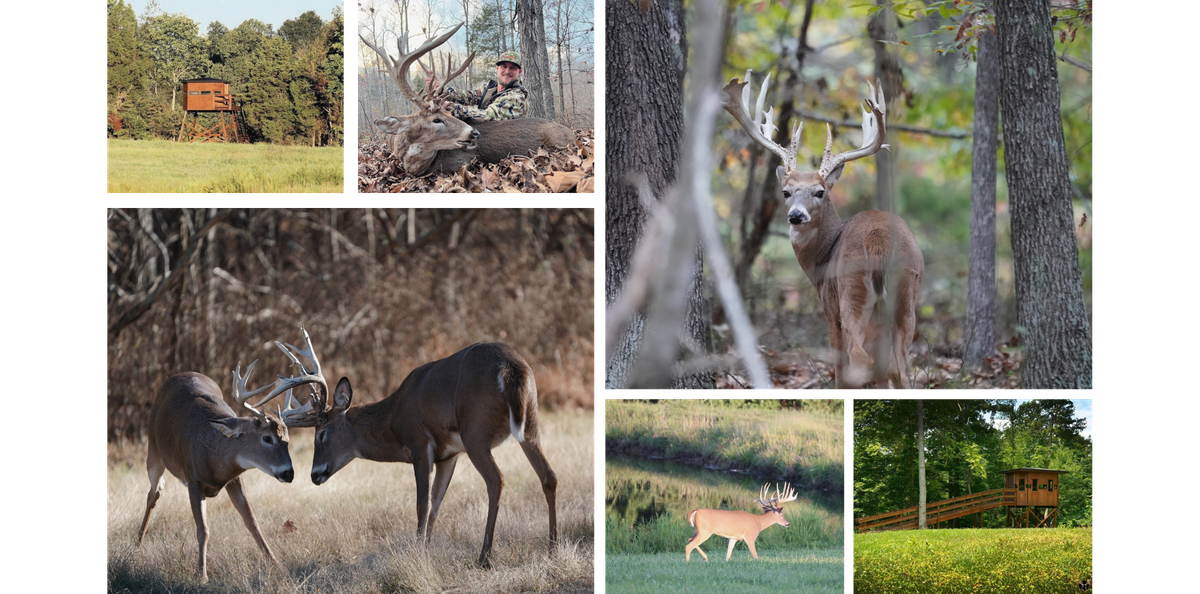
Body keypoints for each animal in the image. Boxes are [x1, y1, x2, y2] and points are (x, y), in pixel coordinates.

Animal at [135, 328, 325, 582]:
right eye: (267, 438)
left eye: (287, 439)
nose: (288, 473)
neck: (214, 457)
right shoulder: (193, 480)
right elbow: (203, 530)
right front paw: (202, 575)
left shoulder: (235, 479)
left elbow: (253, 522)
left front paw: (276, 563)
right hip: (154, 450)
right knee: (153, 492)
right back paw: (136, 544)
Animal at [278, 341, 557, 568]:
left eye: (321, 434)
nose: (314, 474)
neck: (392, 419)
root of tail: (510, 367)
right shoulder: (449, 455)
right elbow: (436, 502)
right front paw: (426, 549)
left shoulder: (419, 442)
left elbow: (421, 503)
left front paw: (417, 553)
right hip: (530, 422)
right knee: (549, 476)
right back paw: (552, 547)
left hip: (475, 433)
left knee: (496, 479)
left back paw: (485, 557)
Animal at [360, 22, 574, 176]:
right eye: (437, 119)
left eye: (450, 114)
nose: (474, 133)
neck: (414, 165)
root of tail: (572, 133)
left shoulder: (462, 161)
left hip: (556, 143)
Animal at [721, 72, 924, 390]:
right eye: (786, 191)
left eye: (820, 192)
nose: (795, 216)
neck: (821, 258)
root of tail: (878, 239)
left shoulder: (831, 312)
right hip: (907, 296)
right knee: (900, 367)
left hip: (851, 294)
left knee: (859, 359)